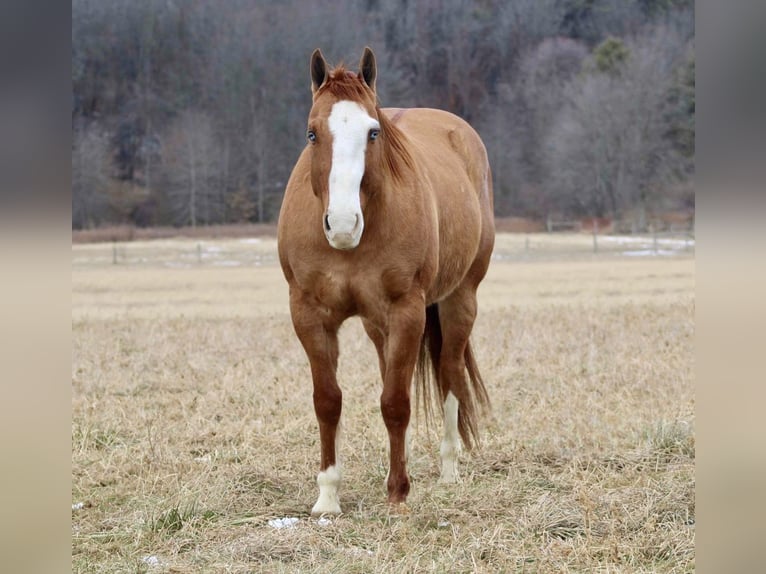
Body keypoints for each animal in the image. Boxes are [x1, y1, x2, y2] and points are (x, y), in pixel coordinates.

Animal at [280, 47, 496, 516]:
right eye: (311, 134)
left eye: (373, 133)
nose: (343, 224)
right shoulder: (309, 315)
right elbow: (329, 401)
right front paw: (328, 497)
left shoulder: (407, 310)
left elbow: (396, 403)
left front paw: (398, 492)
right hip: (377, 325)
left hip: (459, 301)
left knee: (449, 374)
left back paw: (448, 469)